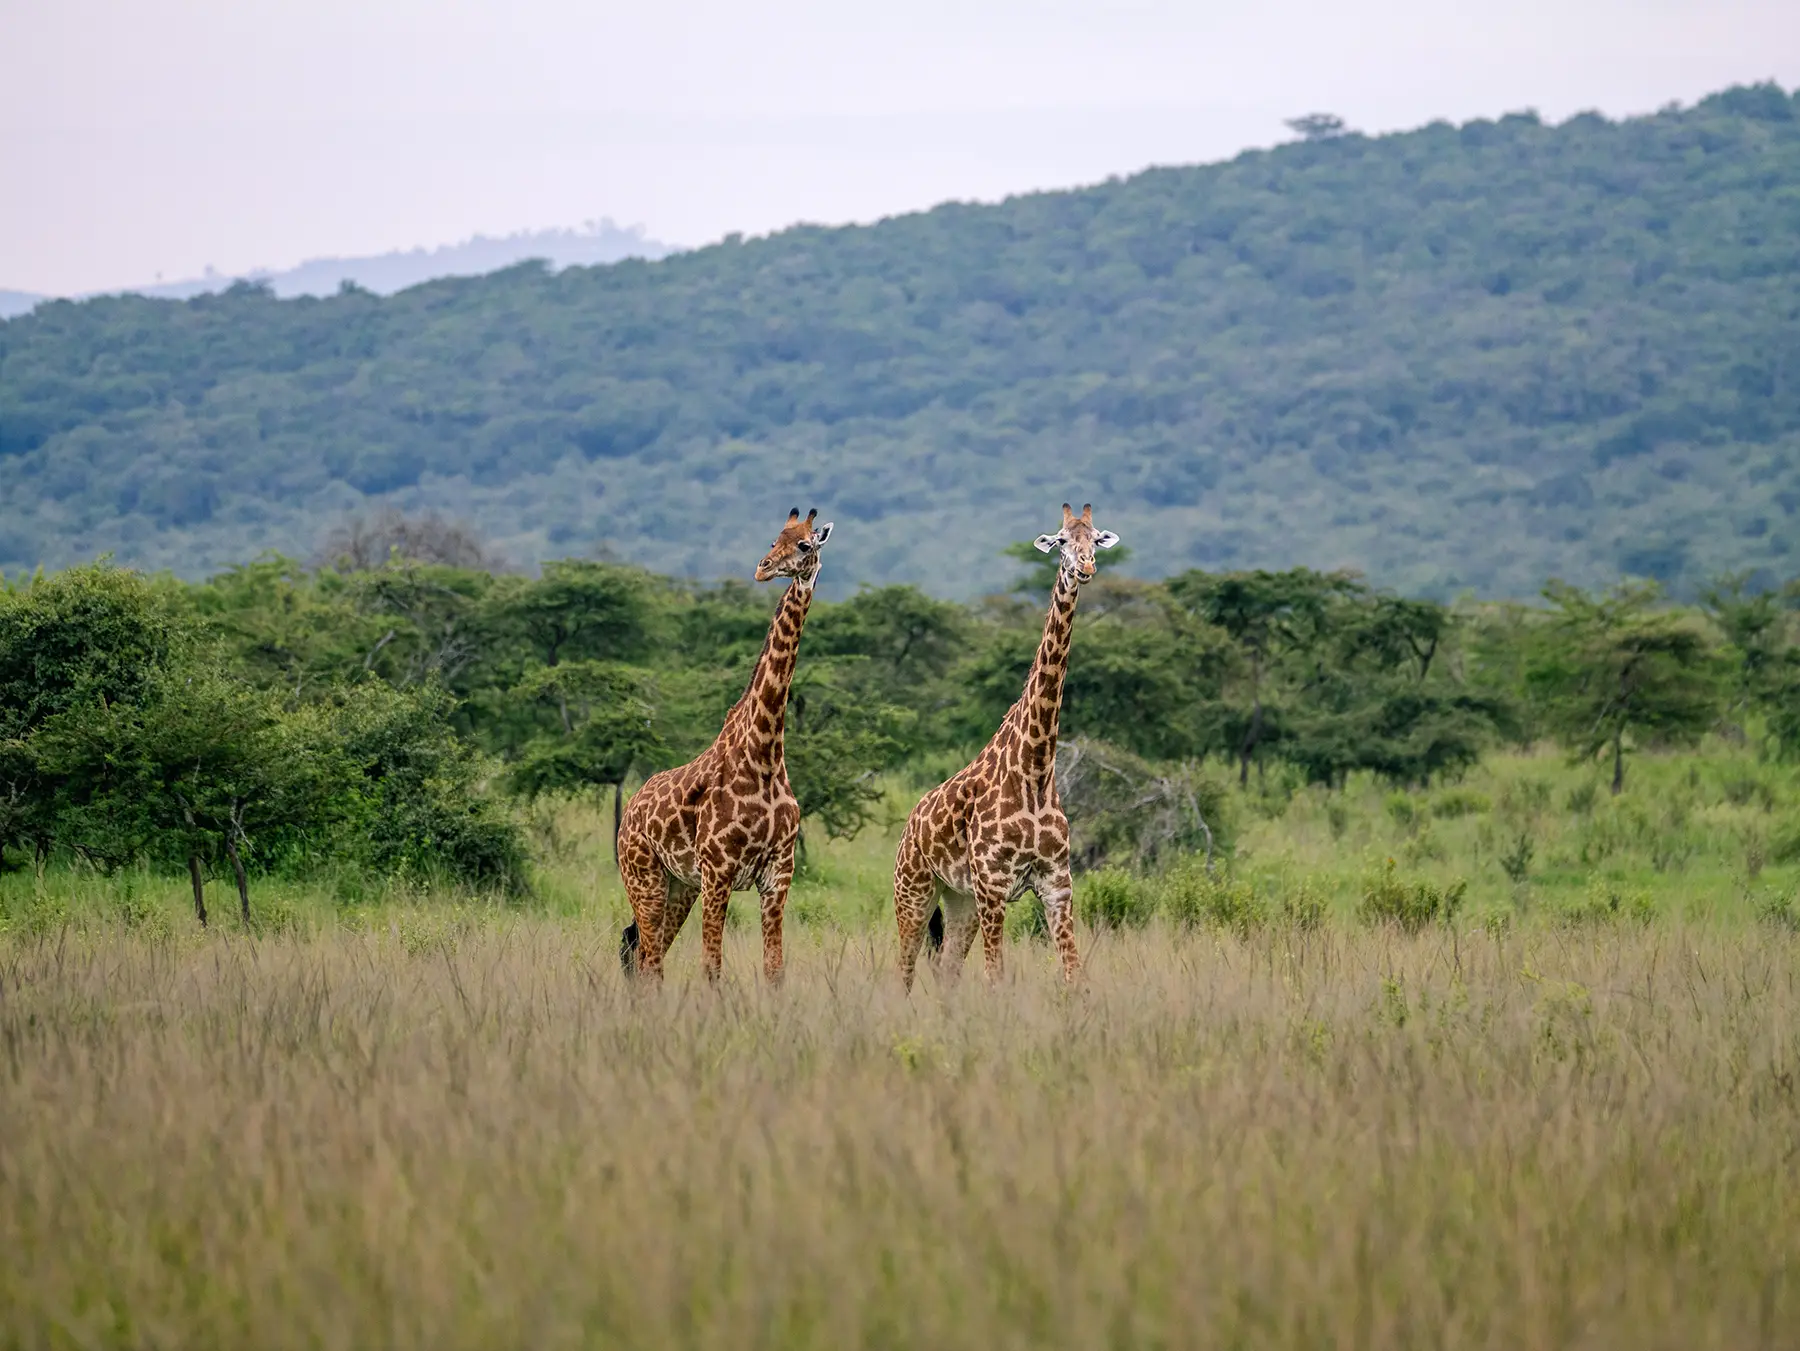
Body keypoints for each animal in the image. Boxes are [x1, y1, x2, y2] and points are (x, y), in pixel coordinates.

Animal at [616, 507, 833, 983]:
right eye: (773, 539)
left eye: (804, 544)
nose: (762, 568)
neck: (765, 753)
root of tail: (627, 815)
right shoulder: (718, 871)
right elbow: (711, 967)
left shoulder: (778, 875)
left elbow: (774, 969)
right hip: (644, 877)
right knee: (648, 960)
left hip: (679, 886)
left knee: (646, 956)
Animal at [892, 503, 1120, 990]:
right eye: (1061, 541)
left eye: (1095, 539)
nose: (1086, 567)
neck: (1035, 767)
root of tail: (909, 824)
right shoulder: (993, 885)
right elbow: (996, 977)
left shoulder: (1057, 884)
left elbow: (1074, 975)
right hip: (915, 889)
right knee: (903, 969)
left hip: (959, 899)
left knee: (946, 969)